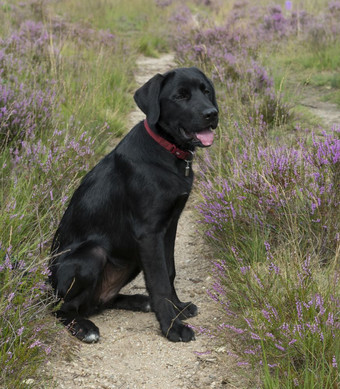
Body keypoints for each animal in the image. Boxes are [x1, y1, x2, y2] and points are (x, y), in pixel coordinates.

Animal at [49, 66, 219, 342]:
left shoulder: (169, 227)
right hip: (92, 254)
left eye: (206, 91)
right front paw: (172, 327)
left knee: (101, 302)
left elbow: (169, 271)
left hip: (132, 259)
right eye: (180, 96)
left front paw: (178, 309)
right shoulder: (148, 233)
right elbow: (159, 282)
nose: (212, 113)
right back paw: (84, 327)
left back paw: (140, 301)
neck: (167, 152)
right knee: (61, 308)